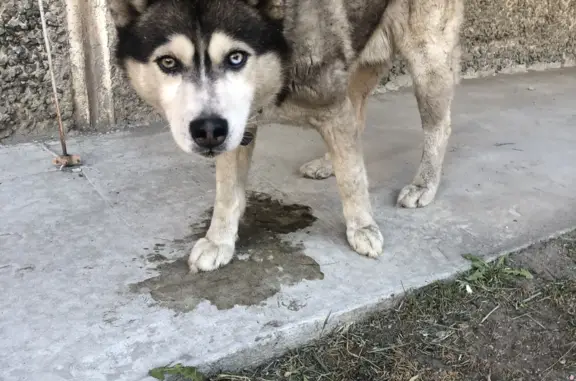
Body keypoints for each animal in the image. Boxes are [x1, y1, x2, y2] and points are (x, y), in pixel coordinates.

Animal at [107, 0, 464, 274]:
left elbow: (351, 179)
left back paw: (424, 184)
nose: (207, 132)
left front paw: (362, 227)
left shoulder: (333, 108)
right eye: (168, 62)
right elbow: (227, 193)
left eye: (236, 57)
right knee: (358, 117)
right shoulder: (237, 128)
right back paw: (327, 163)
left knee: (439, 125)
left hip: (426, 58)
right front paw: (219, 240)